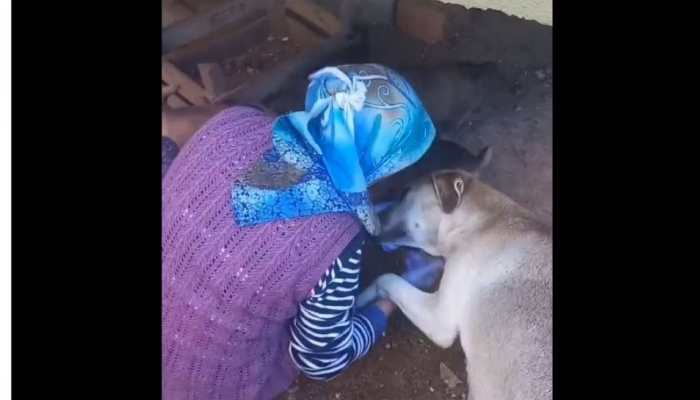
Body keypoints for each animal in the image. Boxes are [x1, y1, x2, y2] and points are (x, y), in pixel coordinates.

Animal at [360, 167, 552, 398]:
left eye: (404, 193)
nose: (366, 217)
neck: (482, 222)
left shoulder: (439, 318)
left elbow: (385, 279)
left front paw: (360, 299)